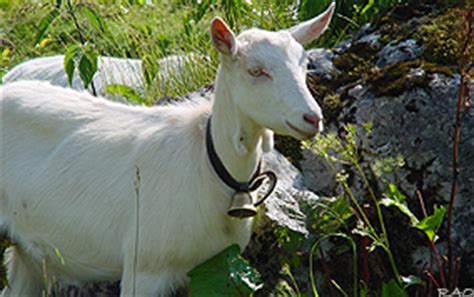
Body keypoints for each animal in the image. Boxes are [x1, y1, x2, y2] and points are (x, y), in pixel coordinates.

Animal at [0, 3, 336, 294]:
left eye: (304, 64)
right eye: (256, 71)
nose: (312, 118)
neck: (209, 164)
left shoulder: (215, 264)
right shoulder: (143, 269)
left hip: (27, 253)